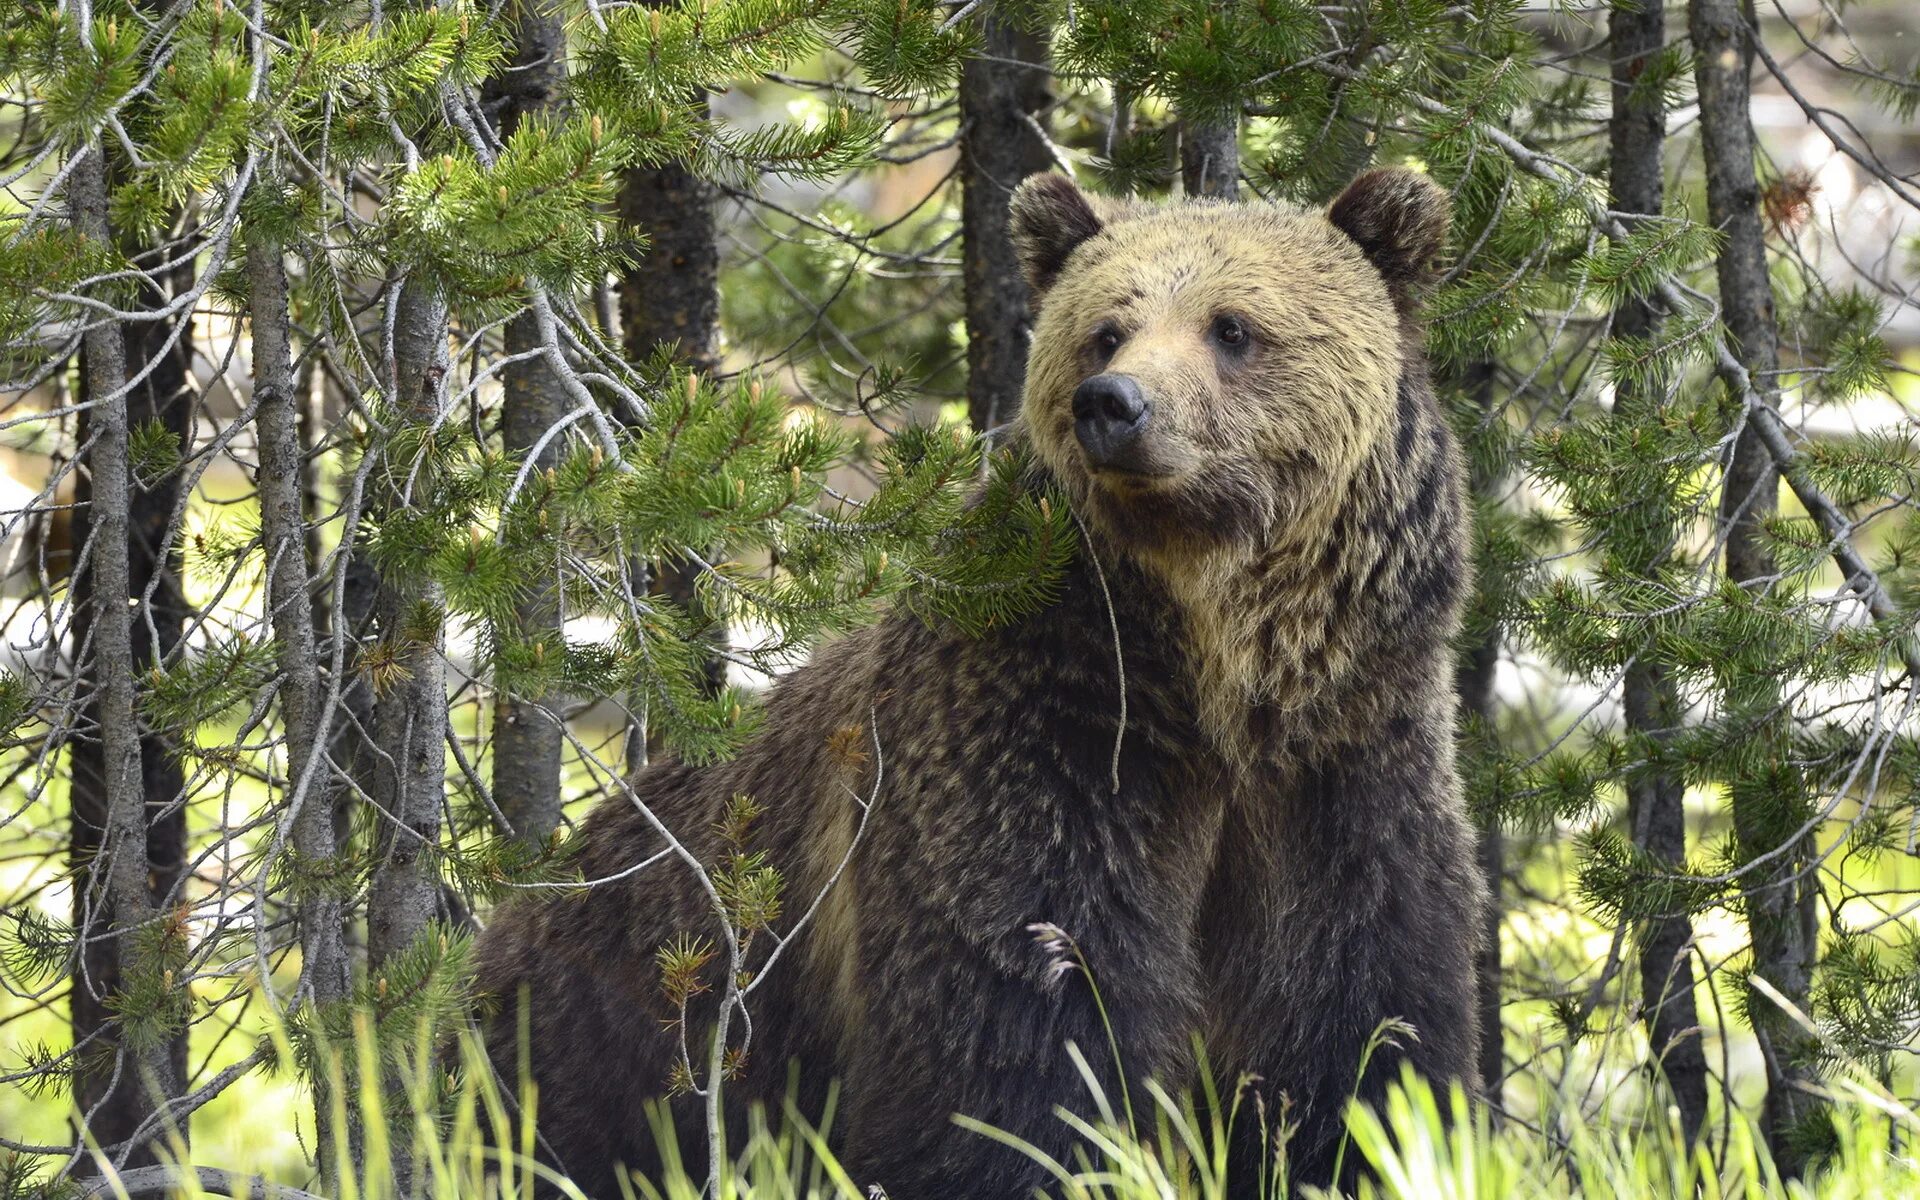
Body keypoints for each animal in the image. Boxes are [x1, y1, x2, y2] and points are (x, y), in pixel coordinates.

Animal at [472, 168, 1474, 1198]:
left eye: (1231, 325)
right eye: (1105, 328)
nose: (1113, 402)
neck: (1216, 680)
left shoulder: (1342, 763)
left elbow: (1357, 1016)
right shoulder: (1046, 740)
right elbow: (1019, 1025)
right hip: (598, 1031)